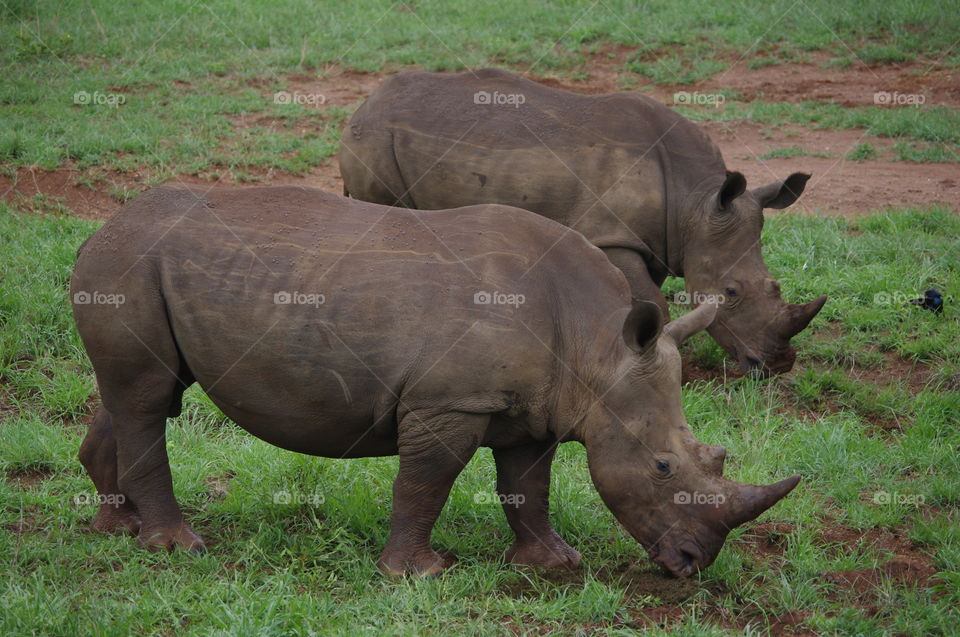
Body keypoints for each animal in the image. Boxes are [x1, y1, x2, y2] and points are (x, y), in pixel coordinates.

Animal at [72, 185, 799, 577]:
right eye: (662, 466)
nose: (693, 562)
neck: (598, 346)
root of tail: (100, 226)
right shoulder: (449, 402)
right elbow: (427, 482)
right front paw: (418, 572)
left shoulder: (536, 407)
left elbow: (527, 486)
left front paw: (554, 562)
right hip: (128, 262)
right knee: (146, 397)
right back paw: (177, 546)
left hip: (142, 267)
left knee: (139, 393)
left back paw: (116, 529)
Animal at [339, 68, 827, 375]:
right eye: (730, 293)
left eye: (776, 287)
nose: (777, 367)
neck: (695, 205)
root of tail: (364, 104)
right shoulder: (613, 236)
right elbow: (654, 302)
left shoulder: (653, 241)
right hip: (374, 139)